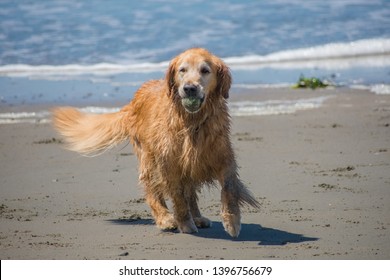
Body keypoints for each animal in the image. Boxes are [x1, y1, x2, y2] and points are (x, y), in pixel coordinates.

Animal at [51, 48, 258, 236]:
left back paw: (197, 217)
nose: (189, 88)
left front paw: (232, 220)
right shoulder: (169, 163)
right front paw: (184, 223)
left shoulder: (222, 157)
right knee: (152, 191)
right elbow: (177, 197)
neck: (192, 123)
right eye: (182, 70)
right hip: (149, 159)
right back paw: (165, 219)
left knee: (190, 192)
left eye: (205, 70)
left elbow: (229, 188)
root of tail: (133, 100)